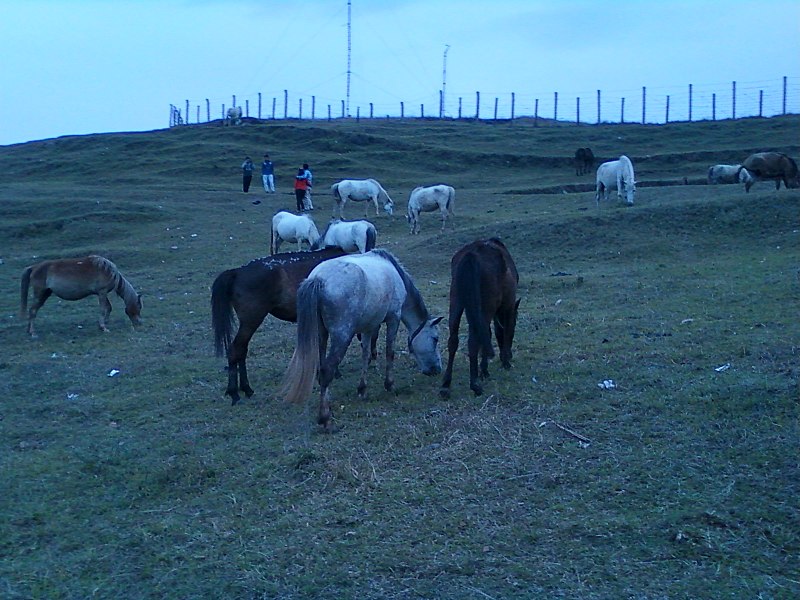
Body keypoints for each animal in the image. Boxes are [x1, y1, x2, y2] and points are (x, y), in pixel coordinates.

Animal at [209, 246, 346, 406]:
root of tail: (237, 272)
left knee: (242, 350)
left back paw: (246, 388)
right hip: (251, 321)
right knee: (235, 350)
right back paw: (234, 392)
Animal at [282, 250, 444, 432]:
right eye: (435, 339)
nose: (436, 369)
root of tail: (318, 279)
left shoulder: (368, 327)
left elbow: (366, 355)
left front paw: (362, 389)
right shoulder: (393, 318)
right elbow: (390, 352)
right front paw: (389, 384)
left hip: (321, 335)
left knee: (321, 368)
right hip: (342, 336)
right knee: (327, 371)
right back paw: (325, 418)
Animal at [438, 238, 520, 398]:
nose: (511, 356)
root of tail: (471, 256)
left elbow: (488, 333)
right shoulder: (507, 307)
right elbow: (504, 330)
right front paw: (503, 362)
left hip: (457, 303)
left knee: (453, 340)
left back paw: (446, 384)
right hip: (485, 307)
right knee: (473, 341)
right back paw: (475, 384)